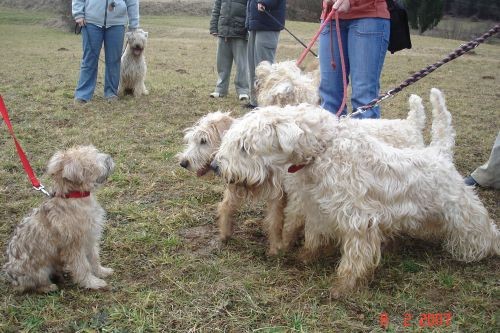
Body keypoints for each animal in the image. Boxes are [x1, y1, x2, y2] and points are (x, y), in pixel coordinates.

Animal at [3, 145, 115, 290]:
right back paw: (50, 287)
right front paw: (92, 283)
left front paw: (102, 271)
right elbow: (82, 266)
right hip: (39, 270)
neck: (73, 196)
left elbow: (94, 258)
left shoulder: (89, 238)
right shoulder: (74, 246)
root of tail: (11, 276)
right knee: (35, 284)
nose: (109, 158)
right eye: (91, 161)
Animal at [212, 89, 500, 296]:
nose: (216, 165)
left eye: (245, 146)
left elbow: (355, 256)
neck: (322, 152)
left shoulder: (358, 218)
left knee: (486, 231)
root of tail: (439, 152)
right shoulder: (318, 208)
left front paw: (343, 287)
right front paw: (306, 257)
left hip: (463, 213)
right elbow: (313, 236)